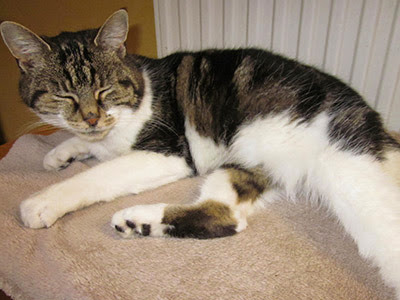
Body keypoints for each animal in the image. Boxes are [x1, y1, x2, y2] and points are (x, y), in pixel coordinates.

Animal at [0, 9, 400, 298]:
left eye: (105, 90)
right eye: (63, 95)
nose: (91, 117)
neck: (139, 91)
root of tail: (376, 122)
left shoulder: (169, 152)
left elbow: (98, 174)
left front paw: (43, 200)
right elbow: (90, 145)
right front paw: (62, 152)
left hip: (346, 170)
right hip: (246, 165)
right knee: (226, 217)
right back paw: (137, 221)